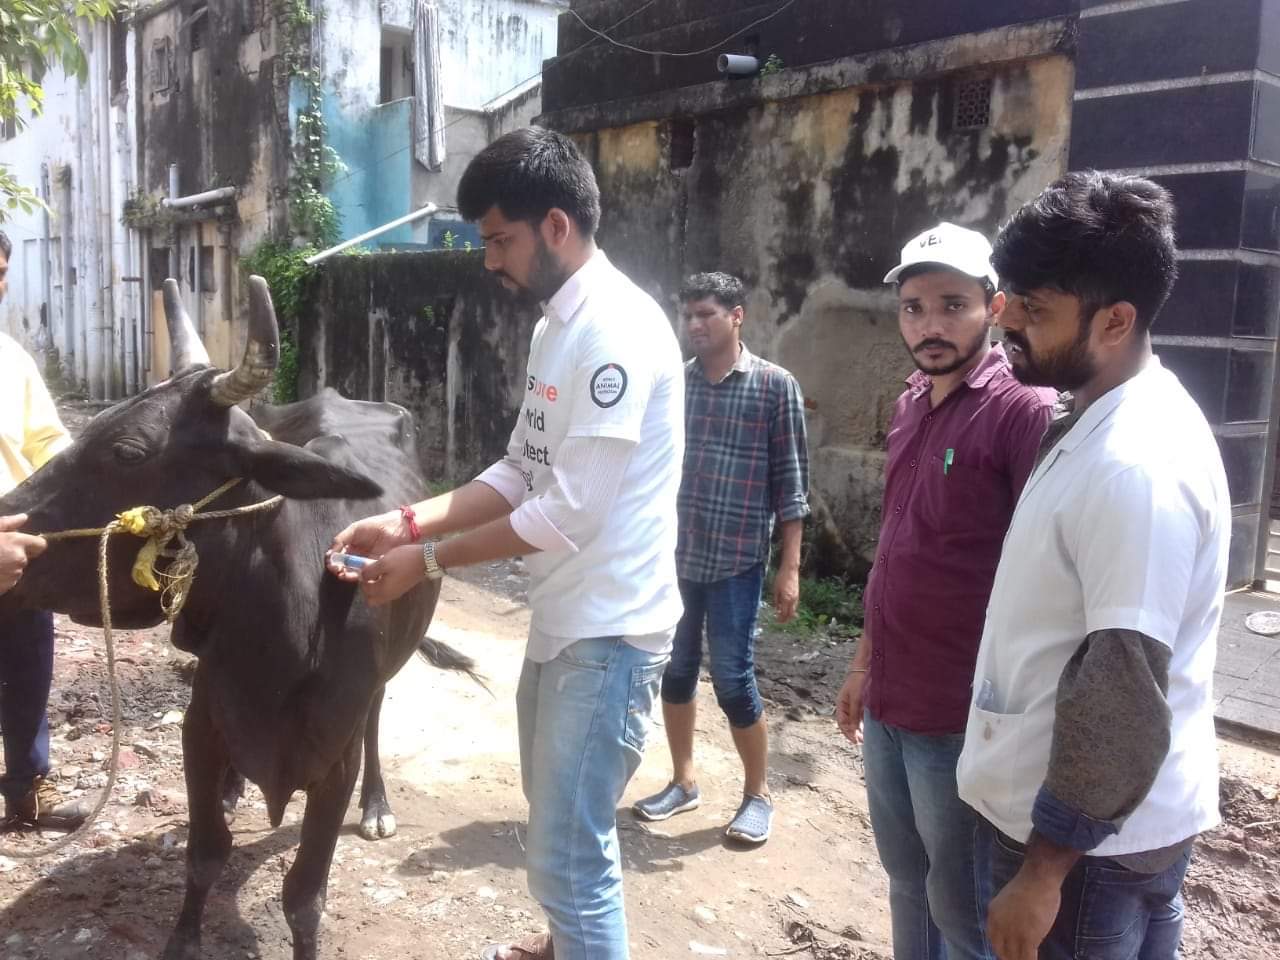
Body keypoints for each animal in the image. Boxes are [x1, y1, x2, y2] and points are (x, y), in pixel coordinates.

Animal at [0, 276, 464, 959]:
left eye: (128, 451)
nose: (8, 530)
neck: (279, 642)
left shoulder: (333, 765)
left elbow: (304, 897)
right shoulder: (202, 727)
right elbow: (204, 853)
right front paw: (183, 939)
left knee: (378, 716)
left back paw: (376, 804)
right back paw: (233, 788)